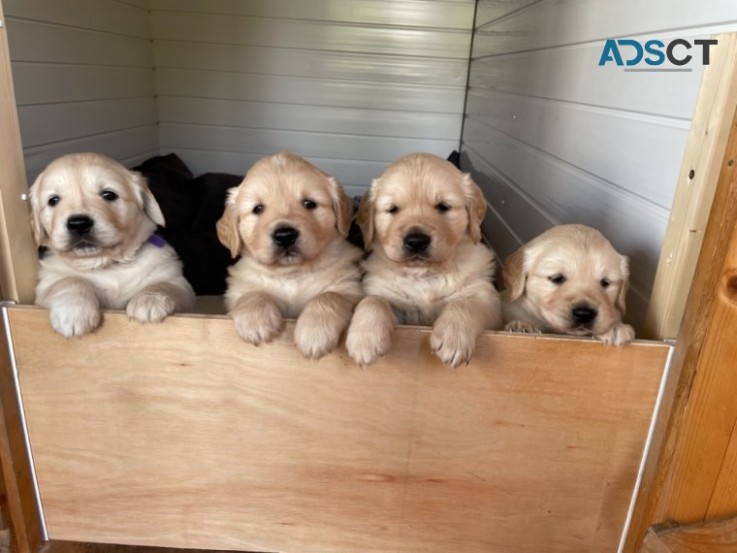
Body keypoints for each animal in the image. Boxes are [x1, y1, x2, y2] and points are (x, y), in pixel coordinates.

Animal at [29, 151, 196, 336]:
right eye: (53, 200)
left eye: (108, 195)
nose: (78, 224)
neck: (108, 264)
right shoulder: (46, 284)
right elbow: (69, 280)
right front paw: (72, 312)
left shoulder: (179, 283)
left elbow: (164, 284)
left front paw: (149, 300)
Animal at [214, 151, 364, 358]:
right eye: (258, 209)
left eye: (309, 203)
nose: (285, 236)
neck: (292, 273)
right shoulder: (237, 290)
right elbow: (252, 294)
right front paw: (256, 321)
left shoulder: (348, 286)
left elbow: (329, 296)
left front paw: (315, 332)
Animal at [344, 152, 500, 366]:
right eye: (393, 209)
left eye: (443, 207)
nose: (416, 241)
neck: (425, 274)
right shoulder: (387, 296)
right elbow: (373, 300)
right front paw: (365, 340)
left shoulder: (488, 298)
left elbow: (463, 303)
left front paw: (453, 338)